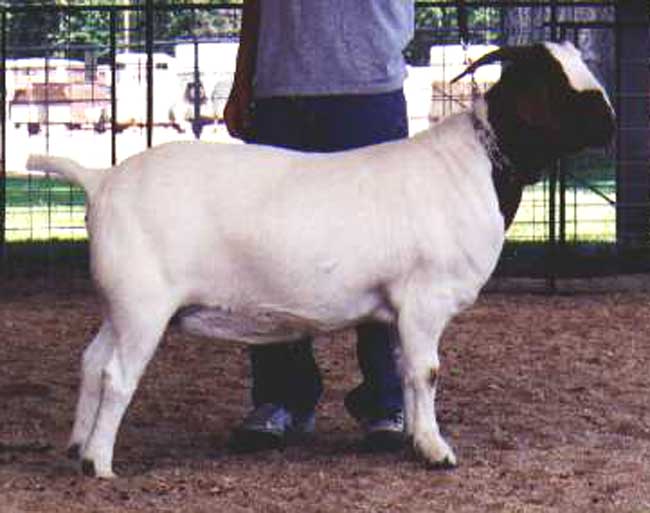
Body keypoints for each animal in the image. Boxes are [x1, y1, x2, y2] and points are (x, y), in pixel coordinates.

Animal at [26, 40, 612, 476]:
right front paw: (436, 450)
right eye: (556, 82)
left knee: (92, 362)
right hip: (143, 304)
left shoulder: (399, 311)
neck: (477, 165)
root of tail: (101, 180)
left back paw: (77, 447)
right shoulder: (424, 299)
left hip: (120, 304)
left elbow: (405, 373)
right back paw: (99, 464)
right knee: (116, 375)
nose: (608, 118)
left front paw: (408, 436)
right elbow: (427, 372)